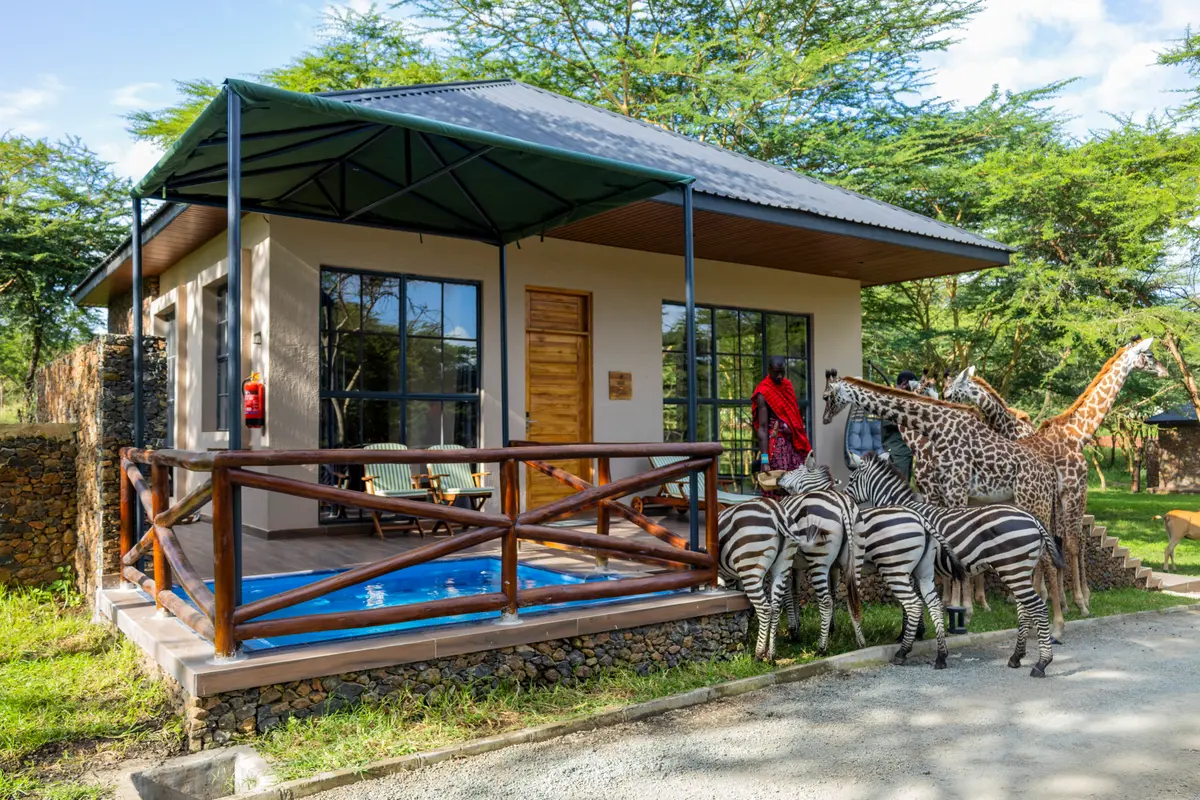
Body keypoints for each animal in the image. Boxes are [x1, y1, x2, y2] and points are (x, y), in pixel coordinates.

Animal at [779, 463, 965, 669]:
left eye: (796, 469)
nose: (778, 478)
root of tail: (921, 520)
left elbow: (791, 595)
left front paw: (795, 631)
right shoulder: (833, 566)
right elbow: (827, 593)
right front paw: (827, 629)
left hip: (894, 569)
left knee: (914, 604)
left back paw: (902, 652)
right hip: (923, 571)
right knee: (933, 604)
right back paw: (940, 656)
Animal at [822, 369, 1068, 639]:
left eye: (826, 396)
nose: (824, 419)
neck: (934, 426)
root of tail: (1050, 474)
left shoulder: (955, 487)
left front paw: (963, 611)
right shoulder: (938, 490)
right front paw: (952, 609)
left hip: (1034, 502)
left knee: (1049, 558)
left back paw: (1057, 625)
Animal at [846, 450, 1065, 677]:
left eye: (851, 480)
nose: (845, 497)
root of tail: (1033, 519)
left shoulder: (908, 567)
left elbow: (910, 607)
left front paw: (908, 637)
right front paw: (917, 634)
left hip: (1013, 569)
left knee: (1038, 608)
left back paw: (1041, 663)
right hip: (1020, 570)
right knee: (1025, 609)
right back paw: (1016, 657)